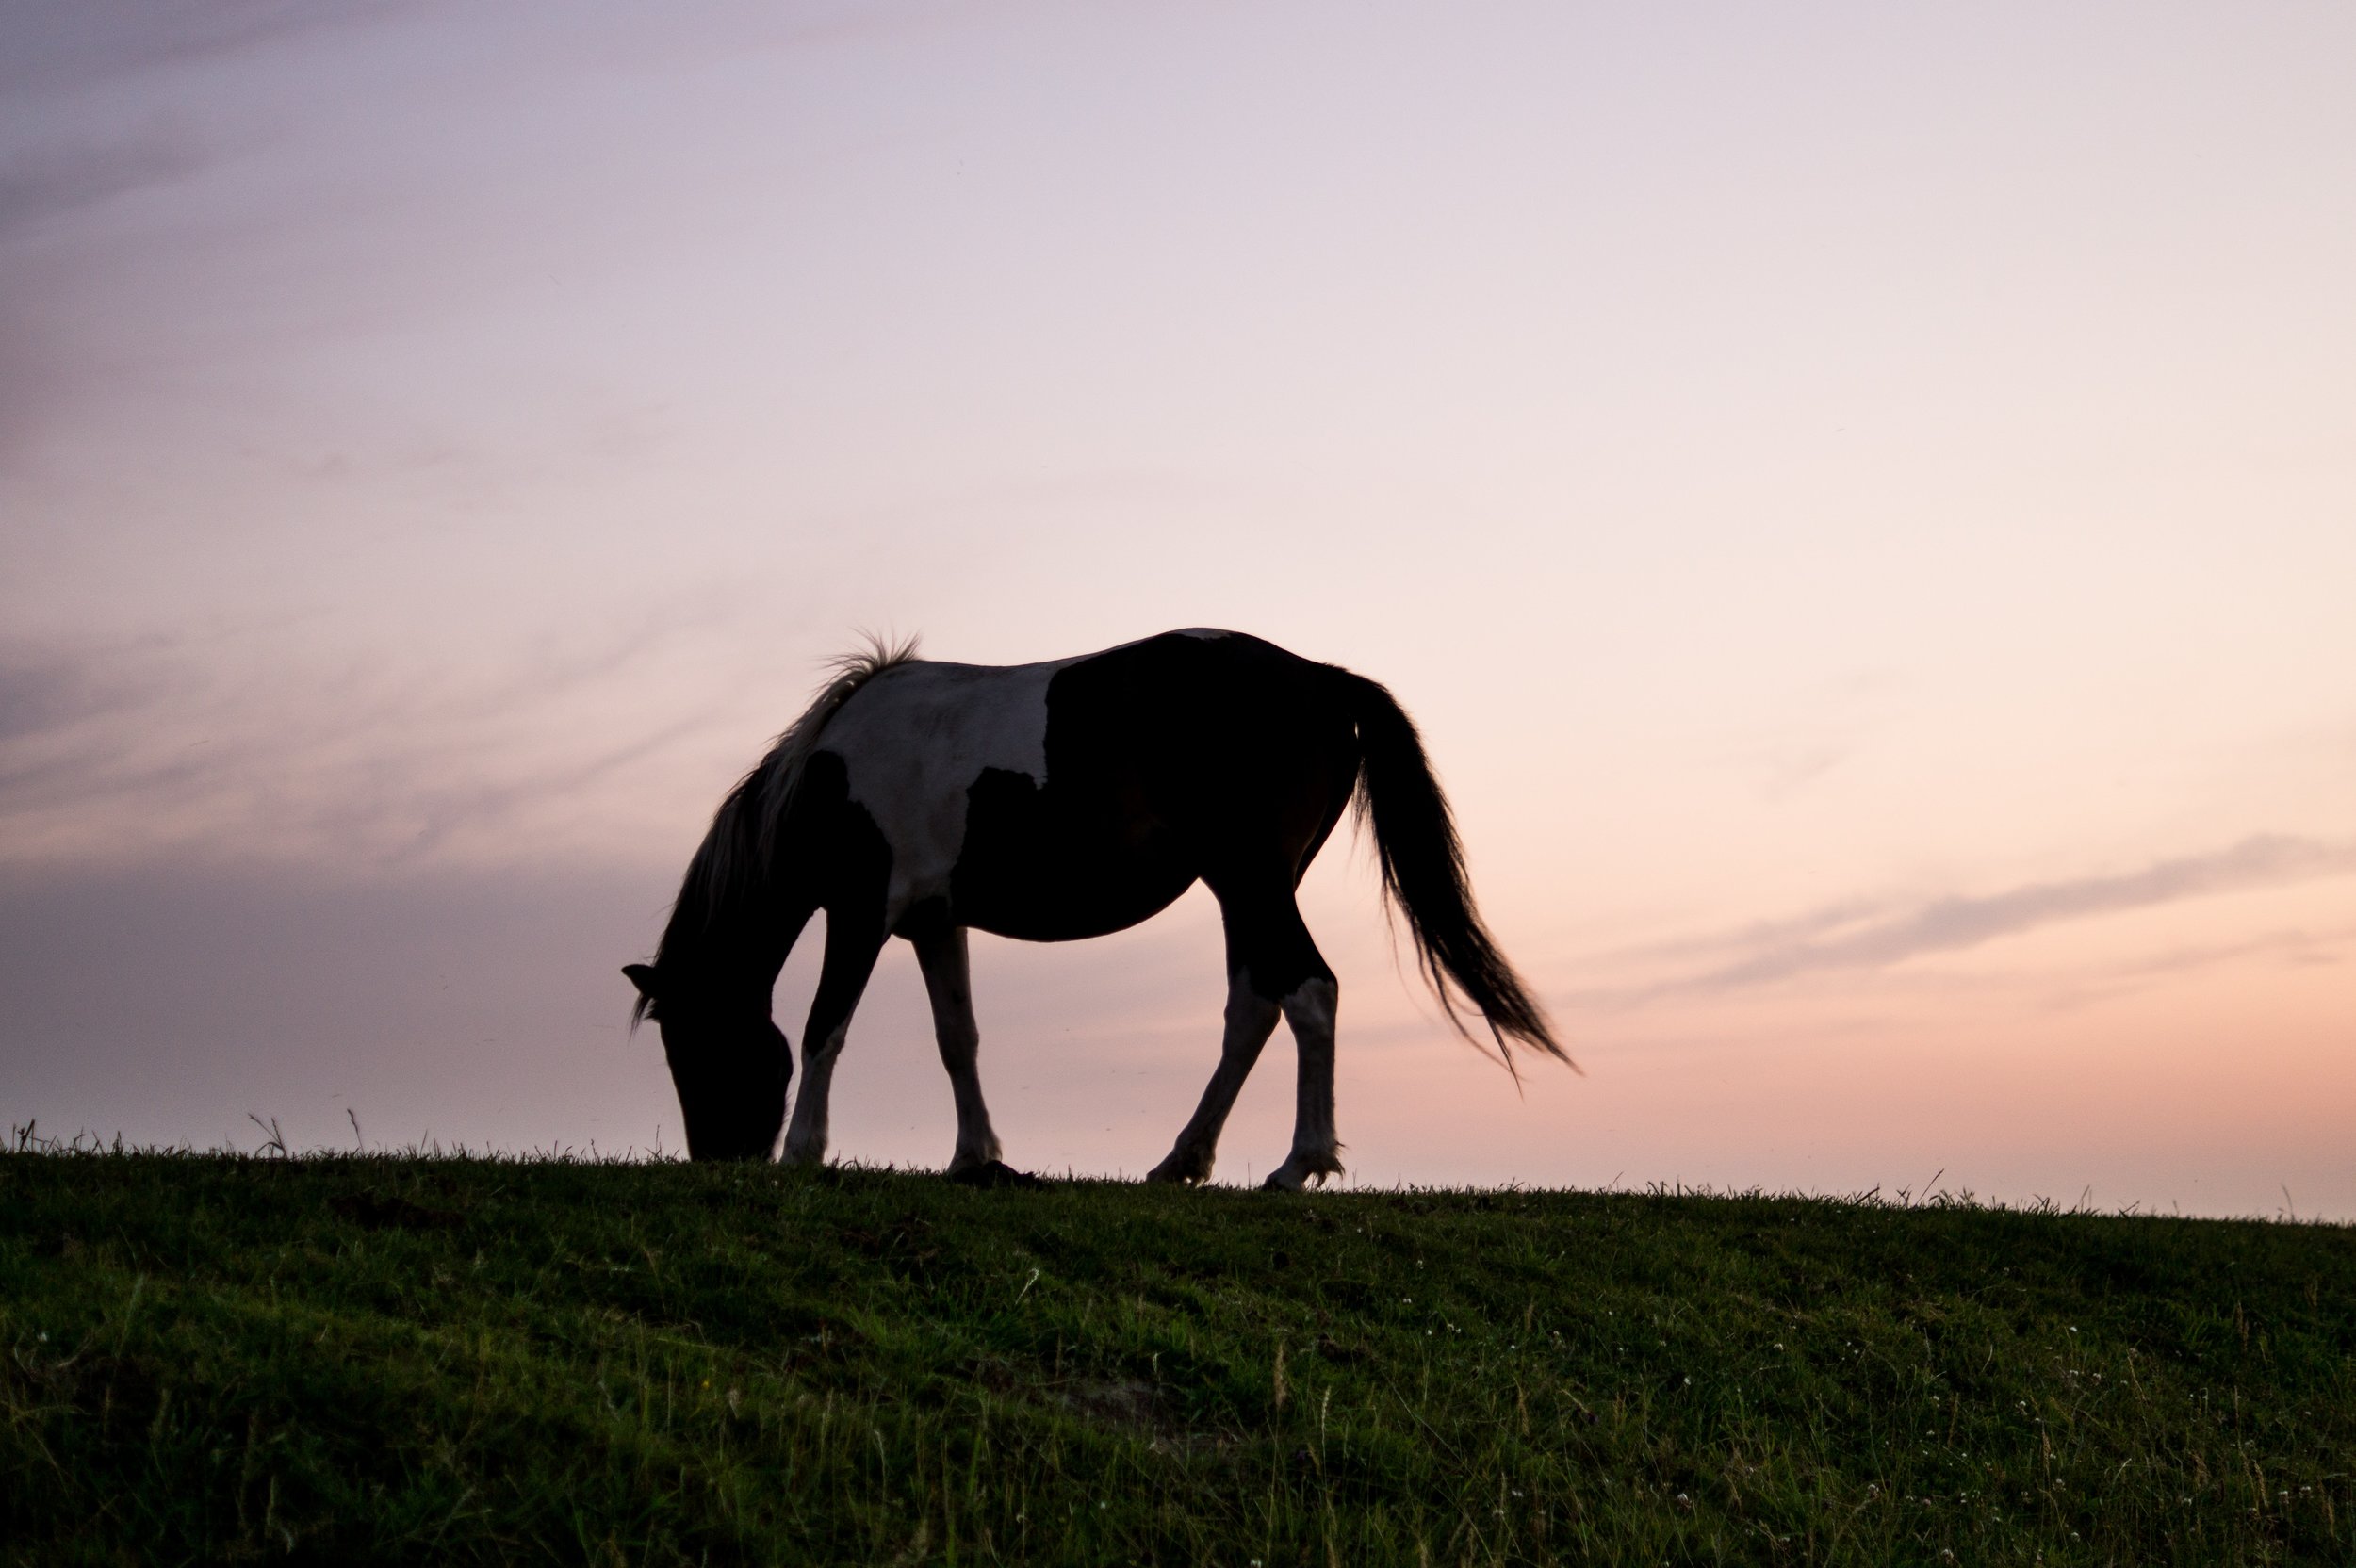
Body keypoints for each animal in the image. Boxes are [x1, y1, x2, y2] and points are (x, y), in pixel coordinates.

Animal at [623, 628, 1564, 1189]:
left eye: (692, 1046)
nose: (719, 1158)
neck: (831, 774)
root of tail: (1324, 681)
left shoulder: (862, 911)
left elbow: (827, 1026)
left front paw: (802, 1153)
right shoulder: (933, 921)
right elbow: (957, 1037)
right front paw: (977, 1158)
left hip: (1254, 881)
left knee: (1308, 993)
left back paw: (1299, 1164)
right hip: (1244, 891)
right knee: (1255, 1007)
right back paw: (1184, 1160)